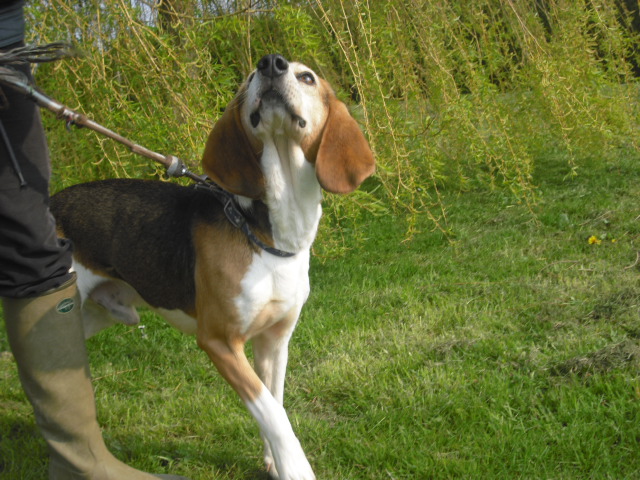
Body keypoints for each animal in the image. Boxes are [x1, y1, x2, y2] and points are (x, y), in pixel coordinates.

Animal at [52, 53, 378, 480]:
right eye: (251, 78)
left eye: (306, 77)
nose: (270, 63)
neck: (268, 238)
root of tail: (51, 203)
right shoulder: (219, 341)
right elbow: (273, 413)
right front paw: (295, 469)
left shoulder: (275, 340)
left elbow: (274, 401)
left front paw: (273, 462)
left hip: (91, 318)